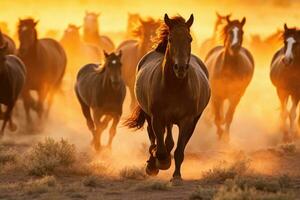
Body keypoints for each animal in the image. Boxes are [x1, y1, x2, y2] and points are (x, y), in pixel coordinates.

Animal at [124, 14, 211, 181]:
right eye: (171, 39)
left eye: (190, 39)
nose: (181, 68)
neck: (174, 87)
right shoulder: (157, 117)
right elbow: (159, 146)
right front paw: (160, 163)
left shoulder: (187, 120)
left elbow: (179, 150)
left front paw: (176, 176)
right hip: (150, 115)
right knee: (153, 137)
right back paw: (153, 163)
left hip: (191, 120)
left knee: (171, 140)